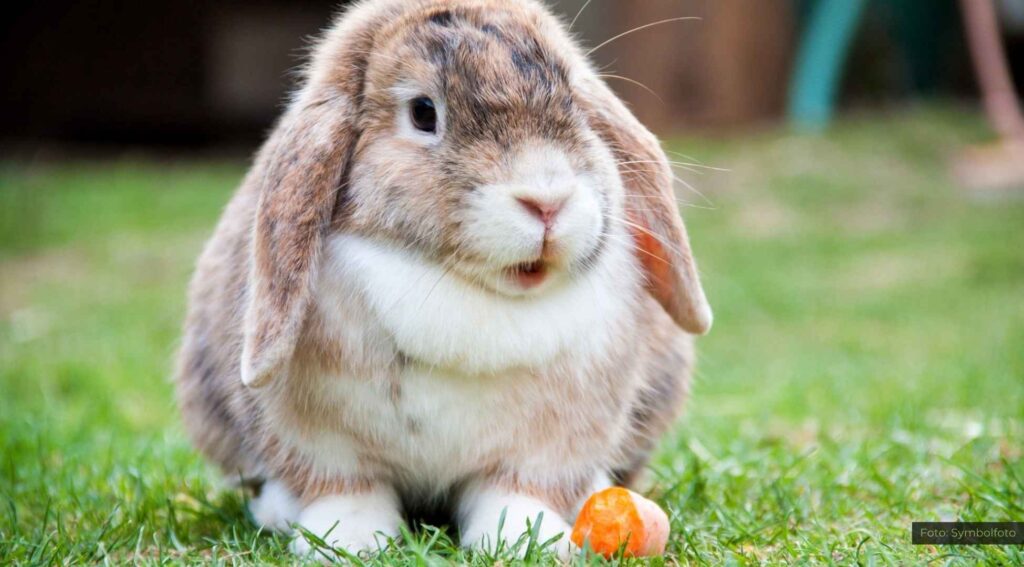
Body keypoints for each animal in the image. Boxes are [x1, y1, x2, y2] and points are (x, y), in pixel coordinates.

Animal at [175, 0, 712, 559]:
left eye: (573, 101)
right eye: (423, 113)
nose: (547, 201)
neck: (467, 290)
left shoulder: (546, 447)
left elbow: (515, 491)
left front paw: (527, 540)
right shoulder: (321, 442)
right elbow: (346, 489)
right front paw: (347, 542)